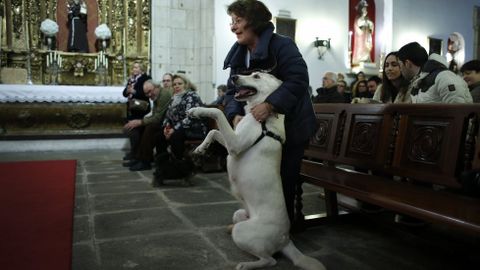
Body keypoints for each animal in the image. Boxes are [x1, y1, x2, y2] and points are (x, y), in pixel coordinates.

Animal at [188, 71, 326, 270]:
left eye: (256, 76)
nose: (234, 77)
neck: (263, 119)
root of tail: (285, 239)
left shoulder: (236, 144)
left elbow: (218, 112)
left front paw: (197, 111)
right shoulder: (232, 144)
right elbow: (213, 132)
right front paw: (201, 148)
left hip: (244, 232)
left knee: (270, 260)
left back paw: (246, 265)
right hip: (239, 214)